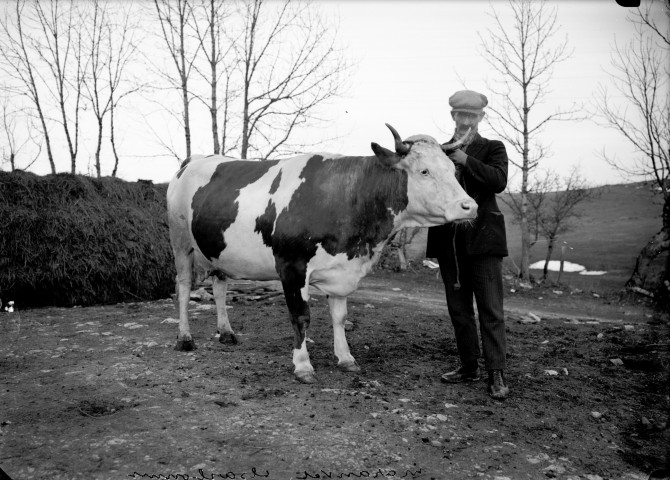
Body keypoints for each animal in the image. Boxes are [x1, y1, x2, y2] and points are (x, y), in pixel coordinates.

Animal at [171, 123, 480, 382]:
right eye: (424, 171)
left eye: (453, 170)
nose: (470, 206)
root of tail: (195, 159)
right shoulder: (291, 267)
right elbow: (301, 316)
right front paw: (303, 366)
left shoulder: (342, 268)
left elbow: (339, 317)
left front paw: (346, 358)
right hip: (181, 242)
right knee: (184, 286)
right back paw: (184, 338)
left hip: (216, 249)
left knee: (219, 286)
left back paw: (226, 333)